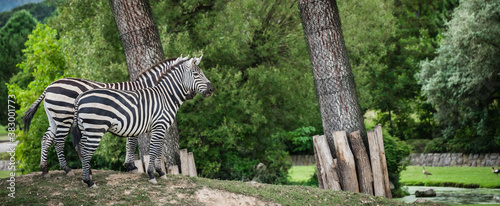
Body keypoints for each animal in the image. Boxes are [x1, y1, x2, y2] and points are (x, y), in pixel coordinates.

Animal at [21, 55, 191, 178]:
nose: (191, 96)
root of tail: (49, 87)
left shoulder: (136, 118)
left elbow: (131, 141)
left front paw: (130, 165)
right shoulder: (136, 116)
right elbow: (131, 142)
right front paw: (131, 166)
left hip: (54, 119)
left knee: (46, 138)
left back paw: (45, 170)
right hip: (64, 117)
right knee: (58, 141)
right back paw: (67, 169)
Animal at [71, 55, 213, 187]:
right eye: (196, 74)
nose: (211, 90)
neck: (166, 96)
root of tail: (80, 97)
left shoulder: (161, 128)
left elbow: (159, 150)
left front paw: (161, 172)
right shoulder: (159, 126)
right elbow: (153, 150)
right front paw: (151, 175)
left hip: (86, 129)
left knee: (81, 148)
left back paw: (87, 177)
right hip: (96, 129)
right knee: (86, 151)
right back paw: (89, 181)